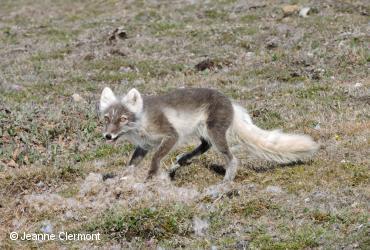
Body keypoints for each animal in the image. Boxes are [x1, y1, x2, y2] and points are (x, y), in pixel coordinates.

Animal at [99, 87, 318, 181]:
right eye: (107, 118)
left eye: (123, 119)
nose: (107, 136)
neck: (142, 122)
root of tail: (231, 103)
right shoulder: (143, 146)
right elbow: (131, 164)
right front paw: (121, 181)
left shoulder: (171, 135)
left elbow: (155, 158)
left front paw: (151, 177)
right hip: (205, 132)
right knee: (205, 146)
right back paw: (181, 160)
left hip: (215, 132)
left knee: (232, 159)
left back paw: (226, 183)